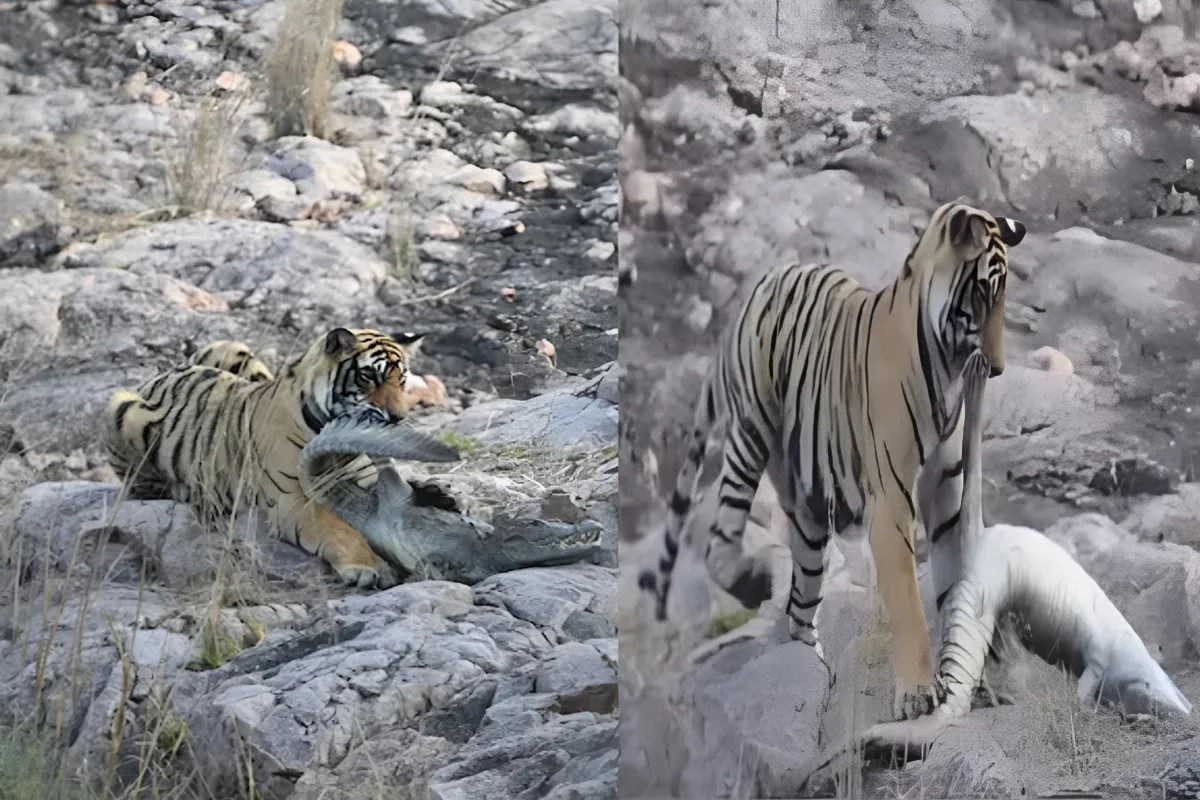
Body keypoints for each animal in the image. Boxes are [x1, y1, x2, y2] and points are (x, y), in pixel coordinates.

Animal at [104, 328, 432, 589]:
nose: (398, 417)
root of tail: (161, 372)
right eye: (368, 377)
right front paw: (368, 567)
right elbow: (339, 529)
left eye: (402, 380)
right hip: (121, 406)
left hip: (230, 347)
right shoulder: (291, 501)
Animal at [637, 201, 1027, 719]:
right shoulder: (890, 500)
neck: (946, 368)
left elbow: (951, 590)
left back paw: (808, 666)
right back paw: (753, 585)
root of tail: (770, 277)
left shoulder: (944, 496)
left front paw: (968, 683)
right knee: (720, 542)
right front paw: (917, 693)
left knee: (801, 603)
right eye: (983, 293)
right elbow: (908, 601)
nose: (999, 369)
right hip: (750, 433)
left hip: (805, 499)